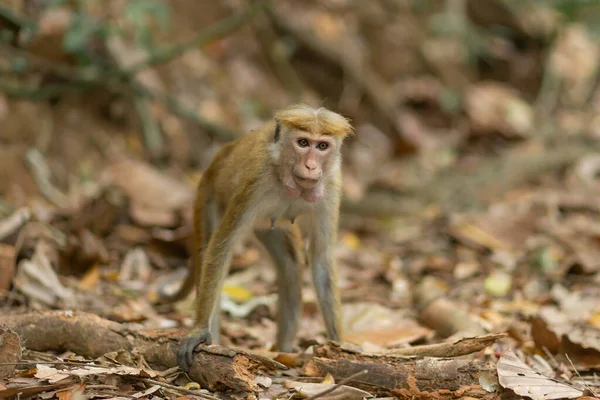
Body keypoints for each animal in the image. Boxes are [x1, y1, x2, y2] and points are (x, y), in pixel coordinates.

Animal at [162, 103, 354, 368]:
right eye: (303, 142)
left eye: (322, 146)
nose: (311, 166)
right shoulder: (255, 181)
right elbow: (222, 244)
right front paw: (200, 331)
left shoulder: (332, 185)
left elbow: (321, 257)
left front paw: (339, 344)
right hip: (208, 195)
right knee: (207, 252)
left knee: (292, 263)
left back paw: (284, 352)